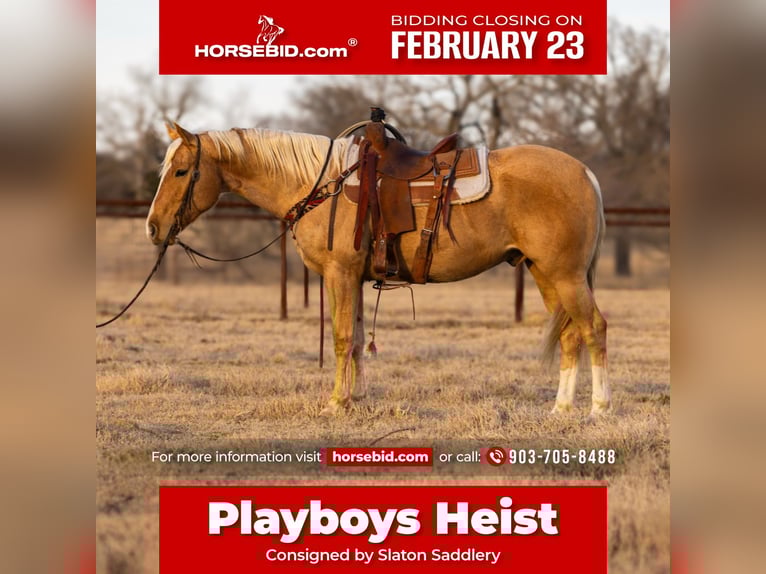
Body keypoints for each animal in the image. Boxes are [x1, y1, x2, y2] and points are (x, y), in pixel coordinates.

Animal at [146, 122, 611, 418]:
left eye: (182, 171)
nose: (153, 227)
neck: (323, 186)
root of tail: (587, 173)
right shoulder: (351, 278)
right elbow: (354, 341)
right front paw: (357, 398)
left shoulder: (339, 274)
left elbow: (339, 339)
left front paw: (336, 404)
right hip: (544, 274)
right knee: (570, 334)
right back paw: (560, 408)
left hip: (566, 276)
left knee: (594, 328)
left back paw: (600, 408)